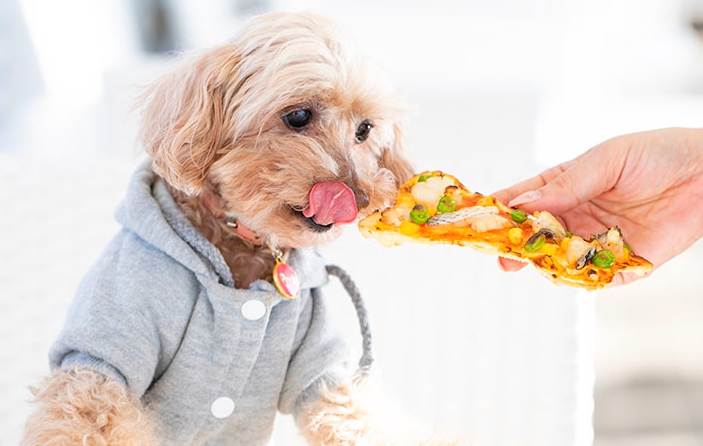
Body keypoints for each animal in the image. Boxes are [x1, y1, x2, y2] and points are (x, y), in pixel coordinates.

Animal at [19, 10, 460, 446]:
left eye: (364, 129)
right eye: (298, 116)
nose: (358, 197)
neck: (239, 240)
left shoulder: (321, 372)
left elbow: (355, 416)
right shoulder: (103, 357)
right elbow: (90, 414)